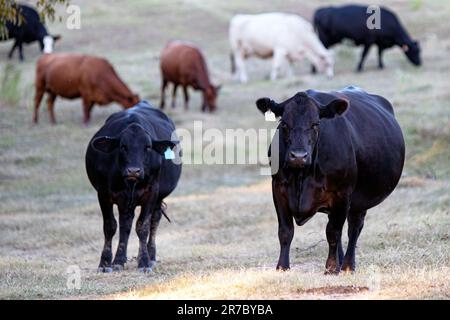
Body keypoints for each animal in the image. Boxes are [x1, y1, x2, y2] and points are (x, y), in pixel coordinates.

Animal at [85, 102, 182, 272]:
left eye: (148, 147)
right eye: (123, 146)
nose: (133, 171)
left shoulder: (151, 193)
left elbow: (142, 226)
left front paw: (144, 262)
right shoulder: (103, 194)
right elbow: (110, 226)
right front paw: (105, 263)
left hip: (157, 198)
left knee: (154, 220)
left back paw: (151, 257)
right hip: (125, 203)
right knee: (125, 224)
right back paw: (119, 260)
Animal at [255, 86, 406, 274]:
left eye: (316, 124)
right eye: (284, 124)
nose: (298, 156)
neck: (302, 176)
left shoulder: (342, 193)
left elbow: (333, 232)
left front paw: (331, 267)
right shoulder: (278, 188)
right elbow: (285, 231)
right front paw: (282, 267)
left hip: (359, 200)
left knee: (353, 228)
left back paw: (347, 265)